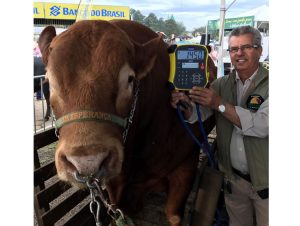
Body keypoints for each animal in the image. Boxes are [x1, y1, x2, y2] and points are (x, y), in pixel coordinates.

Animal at [38, 19, 217, 226]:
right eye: (48, 82)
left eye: (130, 79)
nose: (87, 161)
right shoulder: (115, 187)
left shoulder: (186, 167)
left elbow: (173, 216)